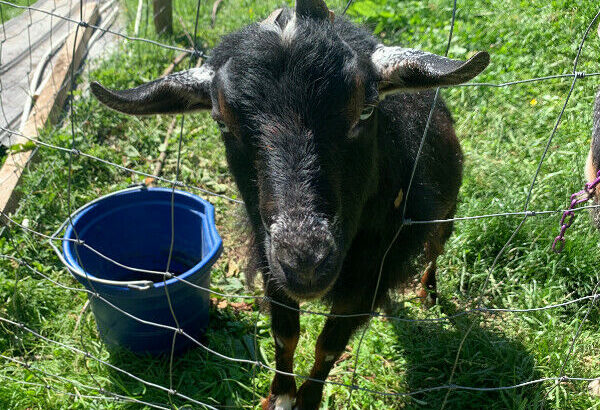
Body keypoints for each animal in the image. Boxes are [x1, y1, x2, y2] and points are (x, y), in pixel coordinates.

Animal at [91, 1, 490, 408]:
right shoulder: (269, 255)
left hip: (446, 213)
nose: (306, 263)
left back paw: (429, 293)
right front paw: (280, 395)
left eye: (366, 110)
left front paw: (308, 400)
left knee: (435, 250)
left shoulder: (371, 268)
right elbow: (285, 334)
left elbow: (329, 345)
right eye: (222, 122)